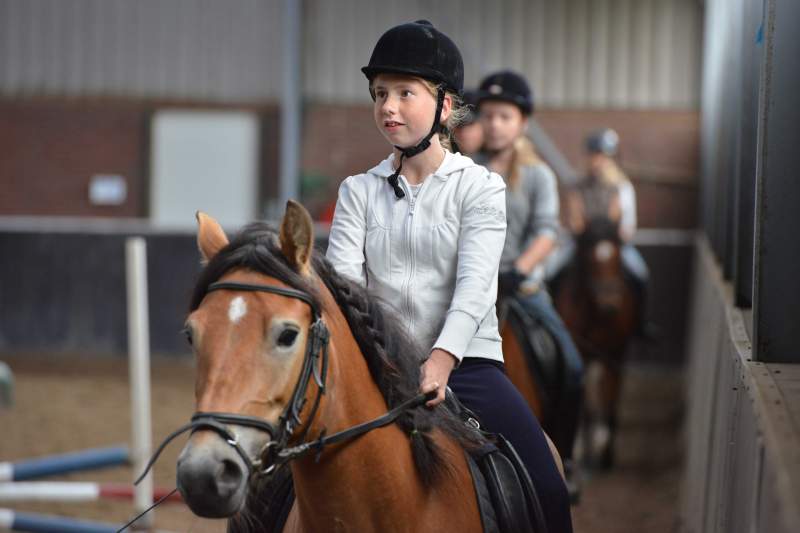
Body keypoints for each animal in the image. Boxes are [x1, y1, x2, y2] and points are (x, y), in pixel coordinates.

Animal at [552, 214, 636, 468]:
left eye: (618, 254)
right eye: (588, 257)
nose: (610, 304)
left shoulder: (616, 355)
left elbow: (611, 399)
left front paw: (607, 452)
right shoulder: (584, 355)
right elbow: (588, 408)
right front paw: (590, 449)